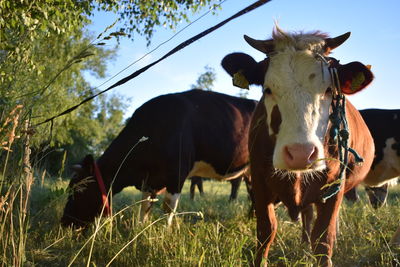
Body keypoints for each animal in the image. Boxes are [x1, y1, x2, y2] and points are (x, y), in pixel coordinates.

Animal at [62, 89, 256, 228]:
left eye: (77, 190)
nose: (65, 223)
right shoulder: (149, 180)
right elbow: (144, 206)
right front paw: (139, 231)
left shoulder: (177, 175)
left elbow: (168, 209)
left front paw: (165, 234)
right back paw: (251, 219)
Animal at [222, 26, 376, 266]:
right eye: (267, 89)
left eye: (329, 90)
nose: (301, 154)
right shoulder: (258, 180)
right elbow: (266, 231)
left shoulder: (334, 185)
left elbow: (323, 238)